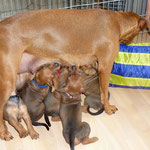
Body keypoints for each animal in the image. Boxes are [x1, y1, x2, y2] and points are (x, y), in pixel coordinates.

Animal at [0, 8, 149, 139]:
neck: (116, 21)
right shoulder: (106, 66)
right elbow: (105, 91)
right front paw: (108, 108)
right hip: (8, 82)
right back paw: (5, 133)